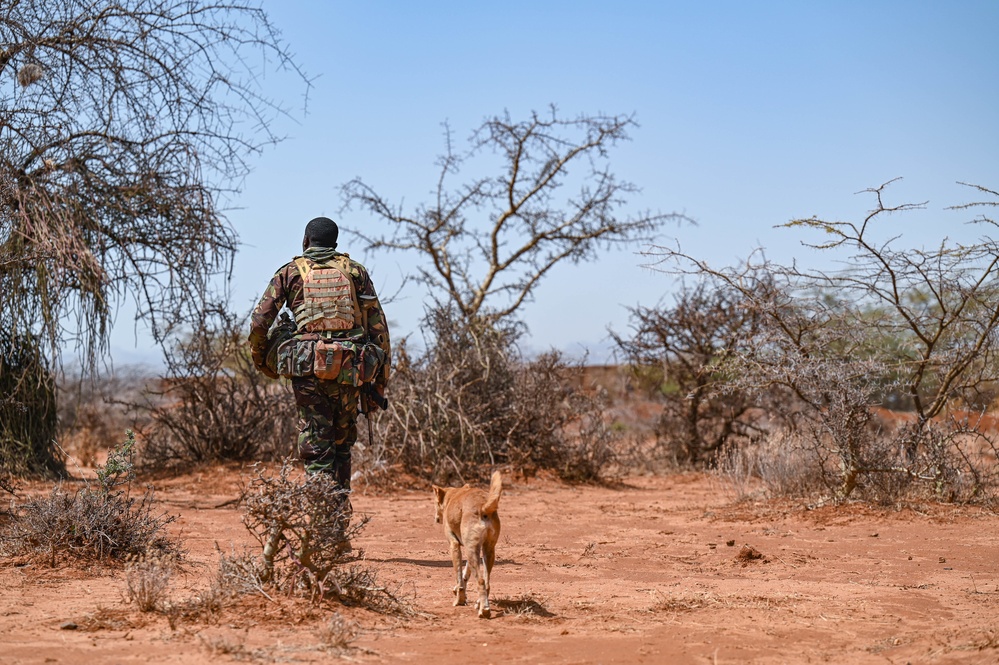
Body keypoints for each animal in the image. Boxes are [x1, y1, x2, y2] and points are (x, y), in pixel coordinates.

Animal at [434, 472, 504, 616]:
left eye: (434, 503)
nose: (436, 518)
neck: (453, 496)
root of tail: (483, 506)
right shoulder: (469, 549)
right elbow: (465, 574)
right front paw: (459, 592)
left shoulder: (454, 545)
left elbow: (459, 578)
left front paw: (459, 599)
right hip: (486, 552)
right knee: (487, 583)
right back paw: (480, 604)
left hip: (472, 550)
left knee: (481, 581)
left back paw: (484, 610)